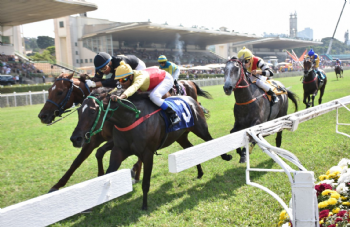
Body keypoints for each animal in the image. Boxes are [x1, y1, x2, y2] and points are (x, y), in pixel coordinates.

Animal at [37, 72, 213, 192]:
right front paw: (57, 185)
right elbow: (79, 160)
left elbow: (100, 152)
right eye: (49, 90)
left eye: (59, 92)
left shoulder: (114, 139)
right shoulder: (94, 138)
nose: (42, 116)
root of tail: (187, 81)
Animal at [69, 88, 232, 210]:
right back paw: (199, 172)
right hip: (180, 136)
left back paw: (226, 157)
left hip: (200, 129)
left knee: (211, 141)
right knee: (191, 149)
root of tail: (191, 99)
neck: (130, 119)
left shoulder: (147, 153)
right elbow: (109, 173)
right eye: (79, 111)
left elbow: (146, 182)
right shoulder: (119, 150)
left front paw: (144, 205)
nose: (75, 138)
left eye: (92, 111)